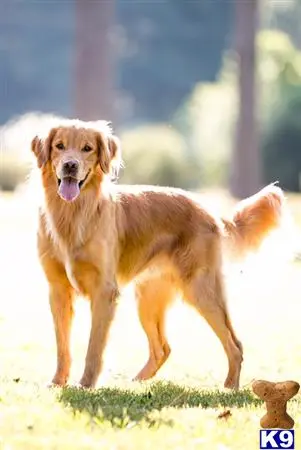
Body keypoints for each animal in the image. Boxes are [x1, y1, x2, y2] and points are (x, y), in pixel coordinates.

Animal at [30, 118, 284, 388]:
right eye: (59, 146)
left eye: (87, 148)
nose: (70, 165)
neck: (73, 214)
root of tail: (209, 210)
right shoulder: (57, 290)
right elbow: (62, 345)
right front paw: (58, 382)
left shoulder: (104, 291)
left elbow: (94, 346)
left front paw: (86, 384)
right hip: (148, 298)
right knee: (163, 348)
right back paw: (137, 382)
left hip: (201, 289)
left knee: (235, 344)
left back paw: (229, 387)